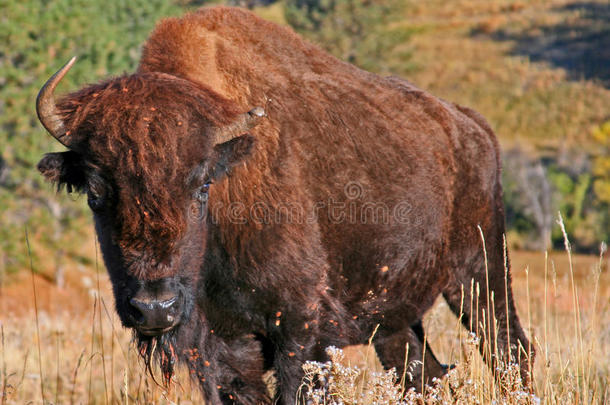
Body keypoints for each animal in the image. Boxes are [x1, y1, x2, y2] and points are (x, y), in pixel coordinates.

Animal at [36, 6, 532, 404]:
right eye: (95, 193)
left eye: (202, 185)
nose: (154, 308)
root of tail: (472, 126)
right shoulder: (222, 347)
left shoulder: (301, 332)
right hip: (395, 316)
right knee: (422, 372)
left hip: (479, 274)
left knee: (510, 350)